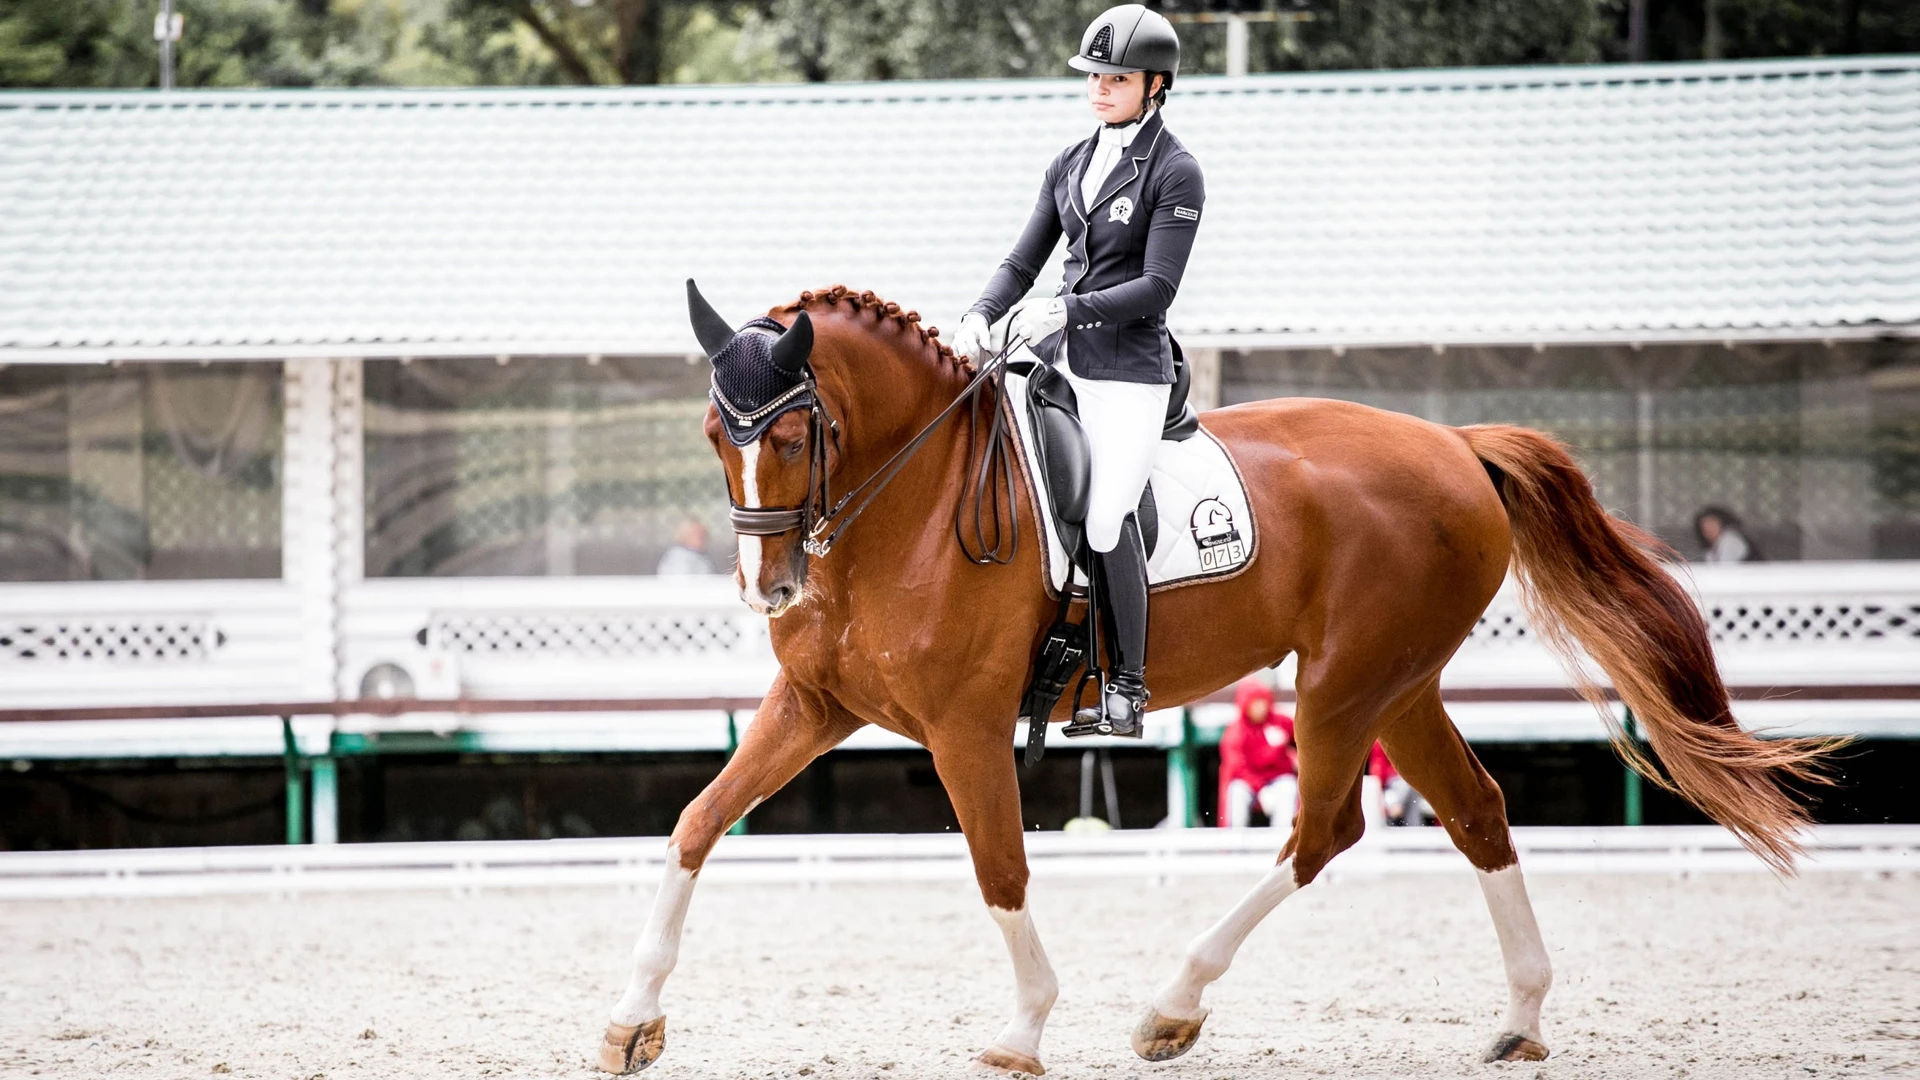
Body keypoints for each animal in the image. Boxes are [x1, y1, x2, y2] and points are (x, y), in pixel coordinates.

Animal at [591, 282, 1835, 1068]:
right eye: (716, 433)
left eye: (798, 435)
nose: (769, 586)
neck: (915, 499)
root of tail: (1454, 444)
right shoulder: (814, 706)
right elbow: (696, 825)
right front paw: (633, 1021)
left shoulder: (965, 729)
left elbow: (1000, 870)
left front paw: (1024, 1032)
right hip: (1399, 685)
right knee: (1475, 812)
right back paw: (1522, 1020)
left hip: (1341, 685)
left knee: (1324, 830)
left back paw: (1172, 1006)